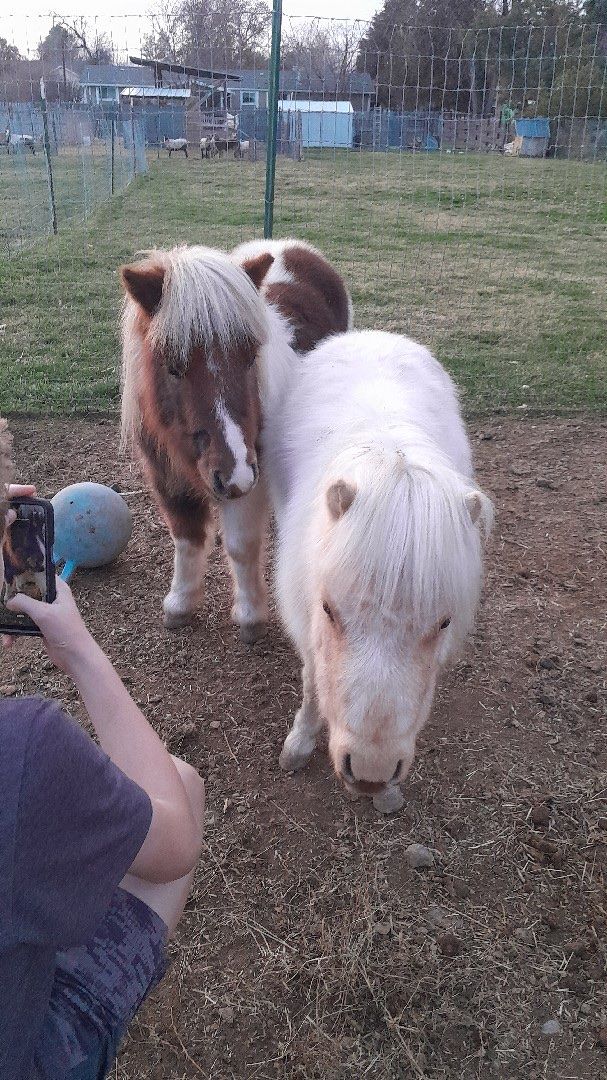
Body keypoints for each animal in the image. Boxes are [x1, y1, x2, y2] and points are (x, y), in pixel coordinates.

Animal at [120, 239, 352, 640]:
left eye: (250, 357)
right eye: (173, 367)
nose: (234, 473)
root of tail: (293, 246)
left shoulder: (249, 479)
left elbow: (241, 545)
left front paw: (250, 616)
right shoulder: (167, 479)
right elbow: (186, 537)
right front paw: (180, 603)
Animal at [262, 329, 493, 813]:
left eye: (444, 622)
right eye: (328, 609)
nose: (371, 773)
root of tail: (370, 335)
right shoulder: (305, 623)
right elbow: (312, 682)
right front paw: (299, 744)